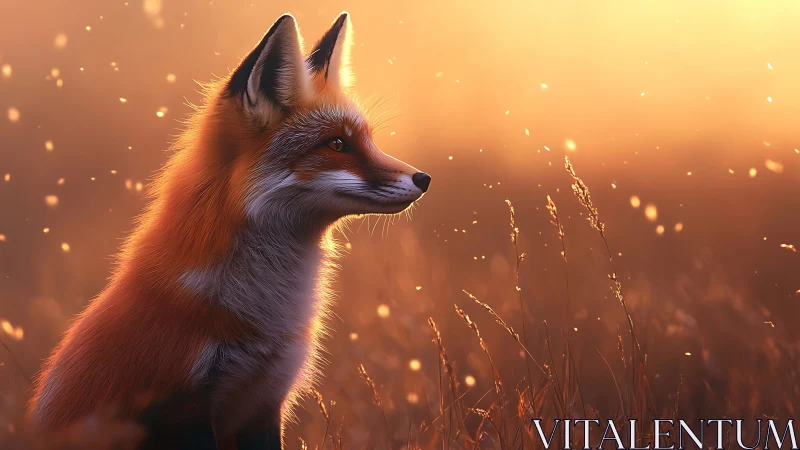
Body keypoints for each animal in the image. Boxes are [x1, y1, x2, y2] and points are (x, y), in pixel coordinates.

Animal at [28, 12, 430, 450]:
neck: (260, 313)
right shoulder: (184, 407)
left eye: (368, 140)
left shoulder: (266, 400)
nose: (424, 178)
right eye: (337, 144)